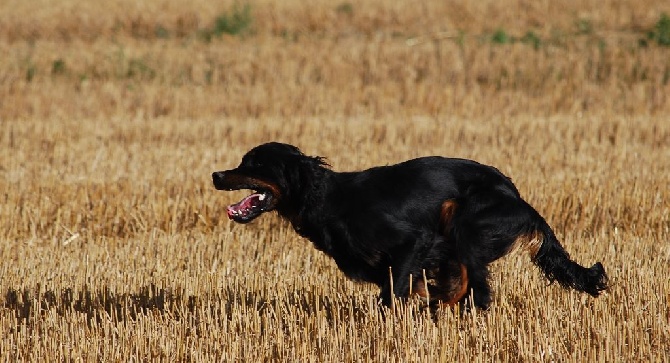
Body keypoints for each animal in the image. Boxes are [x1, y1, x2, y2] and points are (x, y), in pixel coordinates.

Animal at [214, 142, 608, 310]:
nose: (216, 174)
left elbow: (395, 292)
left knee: (477, 289)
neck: (327, 199)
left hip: (465, 222)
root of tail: (520, 200)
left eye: (254, 163)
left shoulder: (413, 241)